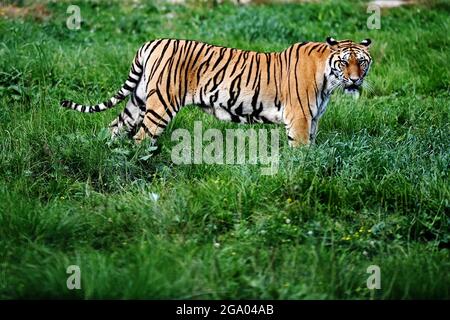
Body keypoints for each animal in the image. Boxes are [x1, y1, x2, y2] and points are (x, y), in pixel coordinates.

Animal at [59, 37, 372, 146]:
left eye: (362, 62)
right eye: (344, 62)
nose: (355, 80)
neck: (328, 80)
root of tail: (152, 42)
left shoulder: (313, 118)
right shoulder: (300, 119)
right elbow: (301, 149)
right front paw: (301, 170)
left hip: (138, 100)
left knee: (115, 126)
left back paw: (109, 154)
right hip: (161, 104)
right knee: (140, 137)